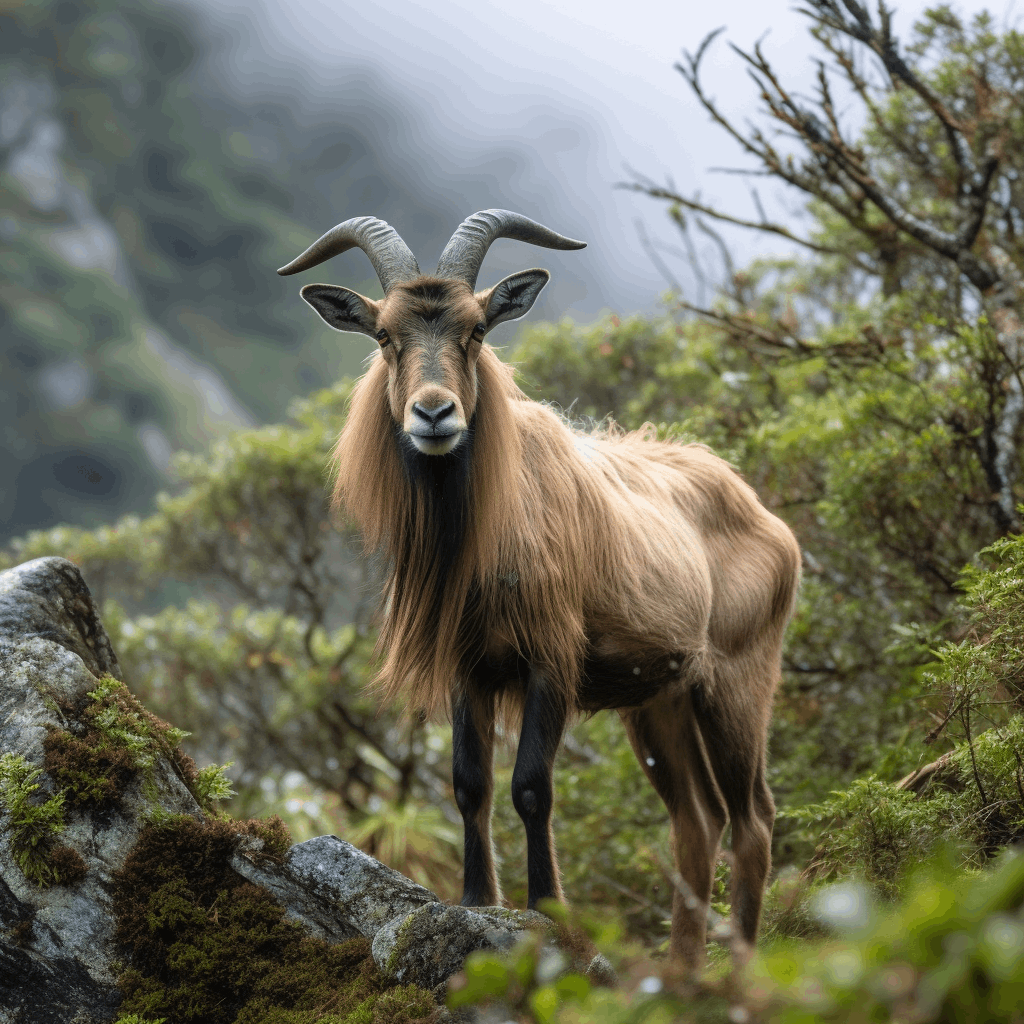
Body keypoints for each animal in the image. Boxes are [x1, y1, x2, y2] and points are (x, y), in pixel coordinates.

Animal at [284, 211, 802, 962]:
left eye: (476, 329)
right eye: (384, 334)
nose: (434, 414)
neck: (489, 536)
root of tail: (770, 523)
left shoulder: (549, 662)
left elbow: (531, 785)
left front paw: (551, 909)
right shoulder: (467, 671)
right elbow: (469, 784)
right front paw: (478, 898)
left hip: (737, 684)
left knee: (753, 820)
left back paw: (734, 967)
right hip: (661, 703)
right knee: (697, 823)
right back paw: (681, 971)